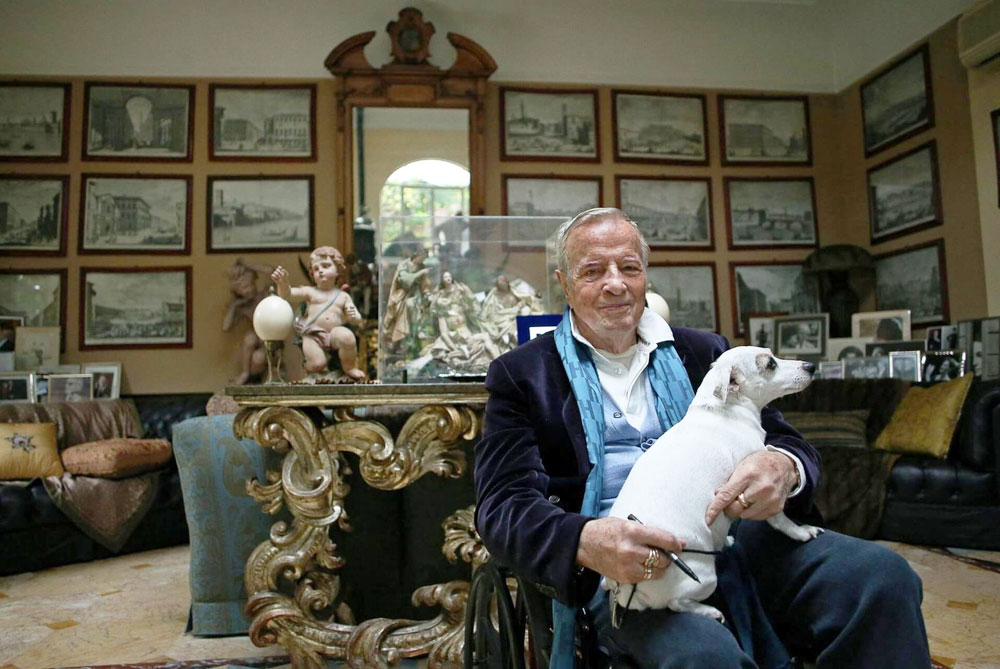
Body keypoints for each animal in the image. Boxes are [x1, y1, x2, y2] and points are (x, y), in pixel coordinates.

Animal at [605, 346, 823, 621]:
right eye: (770, 364)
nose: (811, 366)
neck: (724, 410)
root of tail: (623, 588)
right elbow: (780, 519)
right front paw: (801, 531)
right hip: (704, 579)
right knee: (677, 603)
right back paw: (709, 611)